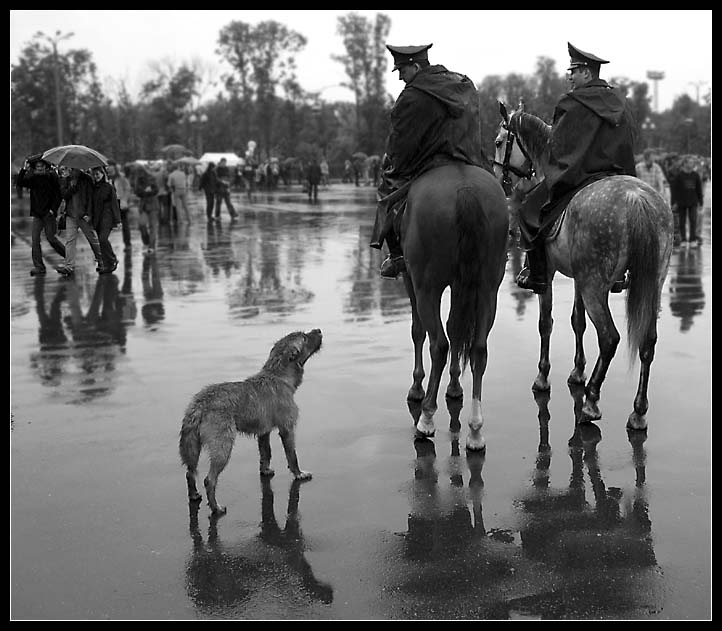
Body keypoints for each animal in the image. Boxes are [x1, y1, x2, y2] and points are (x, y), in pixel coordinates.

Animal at [180, 328, 324, 516]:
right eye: (305, 338)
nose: (318, 330)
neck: (277, 374)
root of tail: (200, 404)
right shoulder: (287, 428)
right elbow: (292, 455)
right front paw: (299, 474)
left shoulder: (264, 432)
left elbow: (266, 453)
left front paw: (265, 470)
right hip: (223, 447)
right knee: (209, 480)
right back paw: (216, 507)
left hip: (193, 446)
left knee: (190, 473)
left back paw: (194, 495)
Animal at [400, 163, 506, 450]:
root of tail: (465, 189)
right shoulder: (463, 283)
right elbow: (456, 328)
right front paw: (455, 385)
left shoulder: (410, 278)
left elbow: (418, 331)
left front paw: (417, 386)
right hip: (488, 286)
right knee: (479, 349)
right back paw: (475, 429)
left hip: (427, 286)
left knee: (439, 345)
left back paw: (425, 419)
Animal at [492, 105, 672, 430]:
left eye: (499, 142)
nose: (498, 178)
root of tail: (637, 198)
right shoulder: (578, 277)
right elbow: (577, 321)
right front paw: (577, 372)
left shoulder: (551, 274)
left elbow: (546, 323)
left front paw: (543, 376)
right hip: (649, 282)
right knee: (647, 341)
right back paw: (638, 411)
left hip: (594, 285)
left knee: (610, 338)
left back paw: (591, 401)